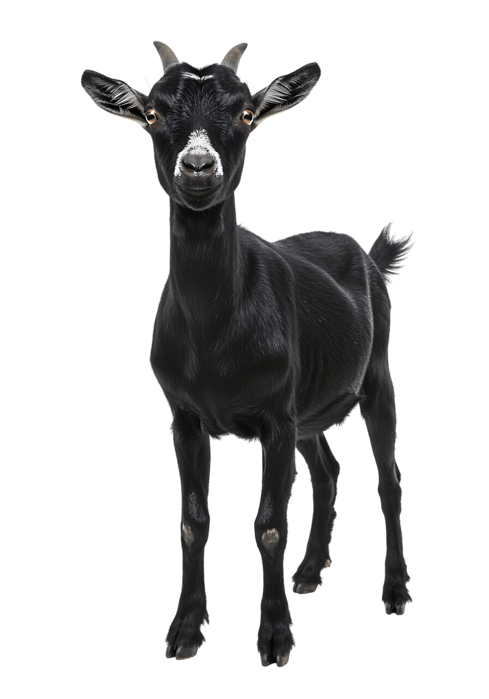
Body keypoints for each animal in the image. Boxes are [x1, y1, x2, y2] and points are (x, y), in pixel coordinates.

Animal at [80, 41, 414, 668]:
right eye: (154, 114)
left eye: (246, 113)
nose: (198, 167)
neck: (215, 335)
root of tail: (371, 257)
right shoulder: (186, 416)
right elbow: (193, 520)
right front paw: (186, 628)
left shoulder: (275, 418)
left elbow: (268, 524)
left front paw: (275, 637)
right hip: (310, 410)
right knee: (328, 472)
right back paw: (310, 571)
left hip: (376, 378)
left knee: (389, 479)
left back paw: (396, 590)